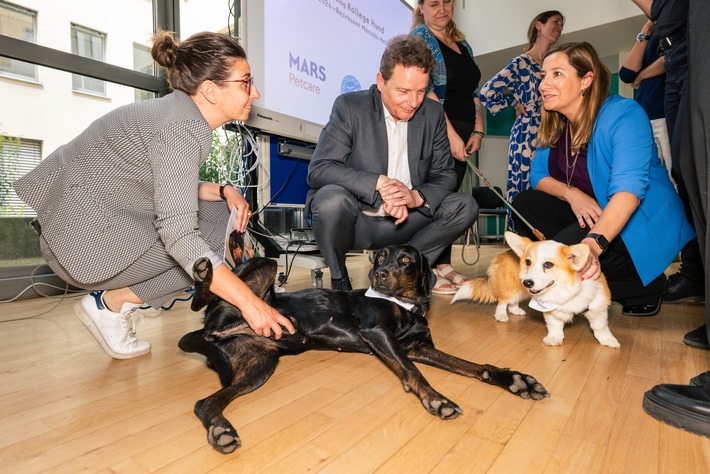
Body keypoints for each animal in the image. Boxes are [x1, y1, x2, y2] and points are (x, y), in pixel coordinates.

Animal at [179, 246, 552, 454]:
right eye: (380, 257)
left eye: (406, 259)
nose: (381, 273)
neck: (406, 306)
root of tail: (210, 331)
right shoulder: (379, 334)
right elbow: (412, 372)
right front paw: (436, 399)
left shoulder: (418, 347)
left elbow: (471, 365)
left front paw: (513, 379)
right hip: (262, 272)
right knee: (201, 298)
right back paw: (203, 272)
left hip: (259, 366)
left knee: (204, 403)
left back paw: (220, 430)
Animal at [454, 231, 620, 348]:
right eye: (528, 262)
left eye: (548, 265)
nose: (527, 283)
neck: (563, 289)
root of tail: (505, 253)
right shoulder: (550, 309)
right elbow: (555, 325)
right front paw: (554, 338)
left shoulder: (598, 307)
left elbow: (600, 327)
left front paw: (608, 340)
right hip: (511, 287)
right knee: (503, 301)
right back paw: (501, 315)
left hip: (520, 290)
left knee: (513, 302)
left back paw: (516, 311)